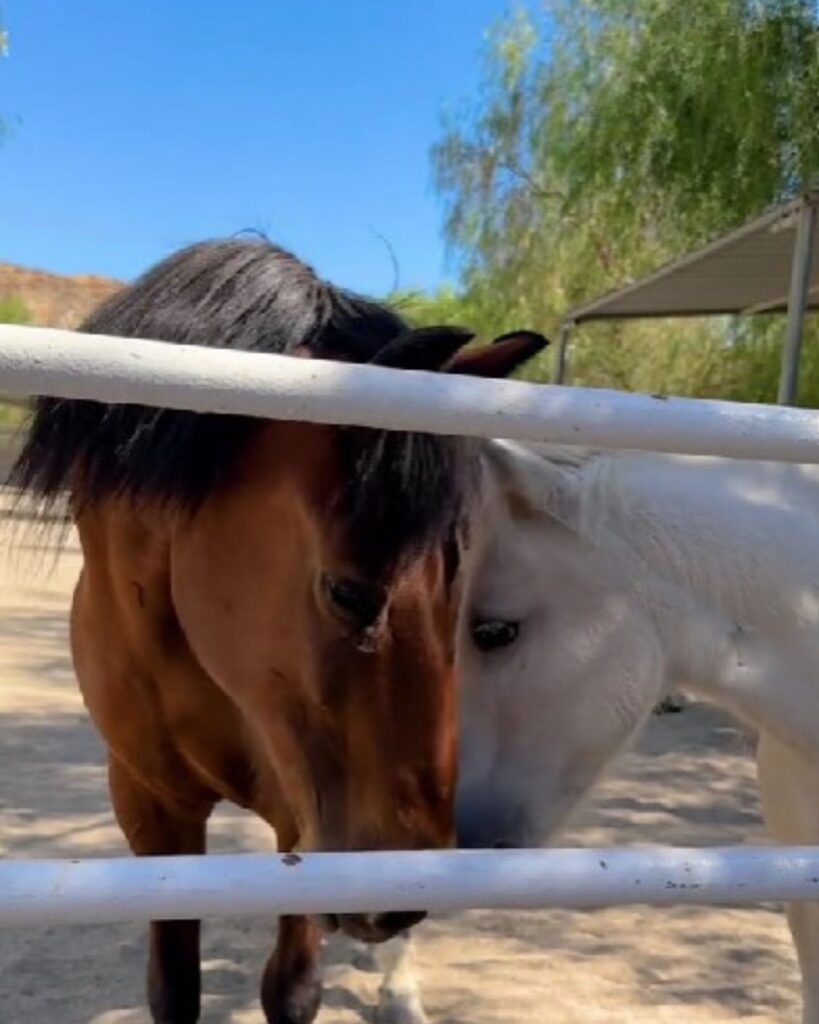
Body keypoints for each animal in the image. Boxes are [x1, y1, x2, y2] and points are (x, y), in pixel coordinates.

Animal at [11, 239, 544, 1024]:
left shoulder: (304, 822)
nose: (395, 895)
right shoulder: (151, 808)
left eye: (461, 574)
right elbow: (173, 990)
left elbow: (292, 991)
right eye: (347, 592)